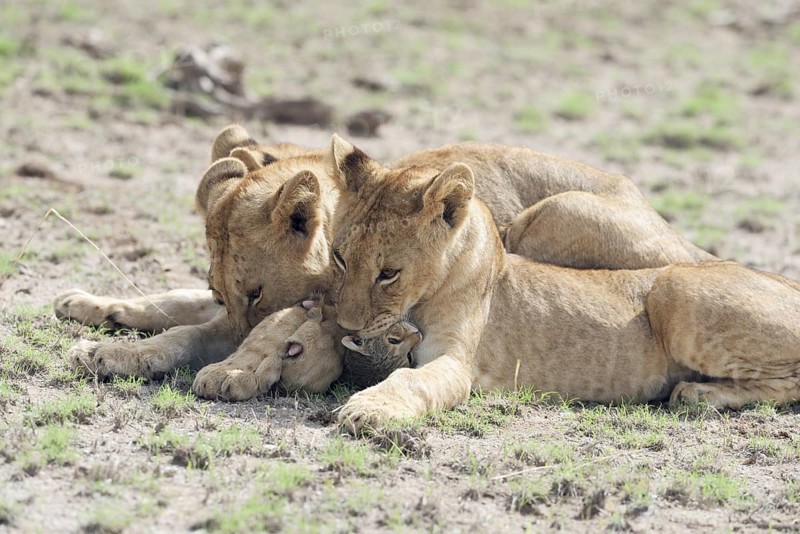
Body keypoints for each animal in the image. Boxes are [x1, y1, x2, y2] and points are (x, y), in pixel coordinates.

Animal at [326, 136, 800, 433]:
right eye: (339, 257)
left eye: (389, 273)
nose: (345, 326)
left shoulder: (455, 361)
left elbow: (410, 380)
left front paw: (369, 408)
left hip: (672, 284)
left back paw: (698, 393)